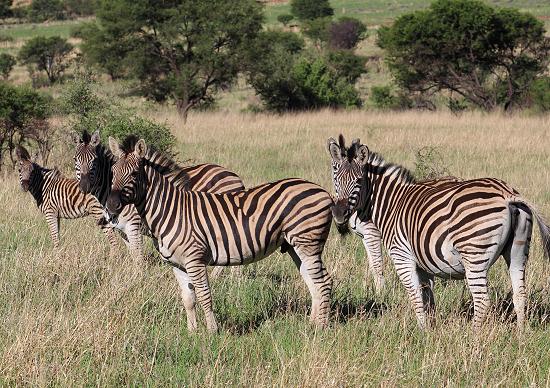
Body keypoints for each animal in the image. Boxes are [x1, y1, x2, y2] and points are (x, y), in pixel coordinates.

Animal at [70, 130, 245, 266]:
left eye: (94, 161)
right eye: (75, 160)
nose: (84, 186)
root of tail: (235, 177)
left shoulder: (134, 226)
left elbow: (138, 257)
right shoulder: (122, 230)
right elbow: (133, 255)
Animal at [105, 136, 334, 330]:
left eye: (134, 174)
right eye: (113, 172)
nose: (111, 205)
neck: (169, 210)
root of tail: (323, 191)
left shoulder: (195, 260)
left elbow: (205, 296)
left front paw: (212, 333)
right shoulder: (176, 264)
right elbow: (188, 299)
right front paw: (192, 333)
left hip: (308, 243)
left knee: (323, 282)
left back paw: (321, 329)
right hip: (295, 246)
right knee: (312, 281)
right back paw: (311, 325)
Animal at [330, 136, 464, 294]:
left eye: (358, 180)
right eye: (336, 178)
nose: (339, 213)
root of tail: (458, 179)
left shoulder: (372, 233)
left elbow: (377, 265)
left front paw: (381, 293)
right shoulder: (364, 235)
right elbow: (372, 264)